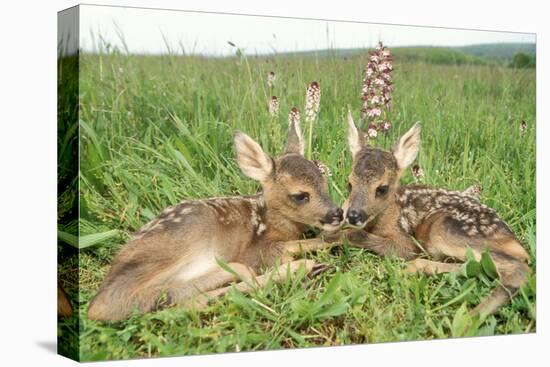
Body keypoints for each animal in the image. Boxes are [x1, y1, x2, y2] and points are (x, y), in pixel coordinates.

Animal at [88, 119, 342, 324]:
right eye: (300, 195)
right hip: (179, 242)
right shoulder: (258, 251)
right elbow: (289, 248)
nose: (337, 214)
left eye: (324, 183)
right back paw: (302, 268)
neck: (268, 221)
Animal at [338, 113, 532, 318]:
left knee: (519, 269)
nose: (353, 215)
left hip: (445, 229)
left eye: (382, 188)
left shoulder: (406, 243)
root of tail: (514, 242)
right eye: (349, 183)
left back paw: (469, 317)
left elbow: (357, 234)